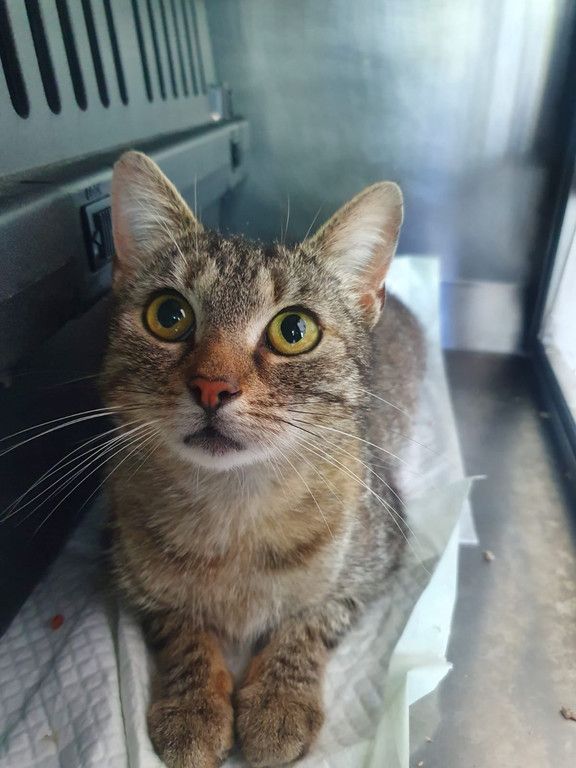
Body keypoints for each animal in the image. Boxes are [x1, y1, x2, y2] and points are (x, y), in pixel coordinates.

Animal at [102, 150, 424, 768]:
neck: (234, 508)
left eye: (294, 329)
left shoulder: (377, 561)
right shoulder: (130, 576)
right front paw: (194, 707)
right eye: (168, 315)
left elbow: (308, 621)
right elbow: (182, 629)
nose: (212, 386)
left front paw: (278, 702)